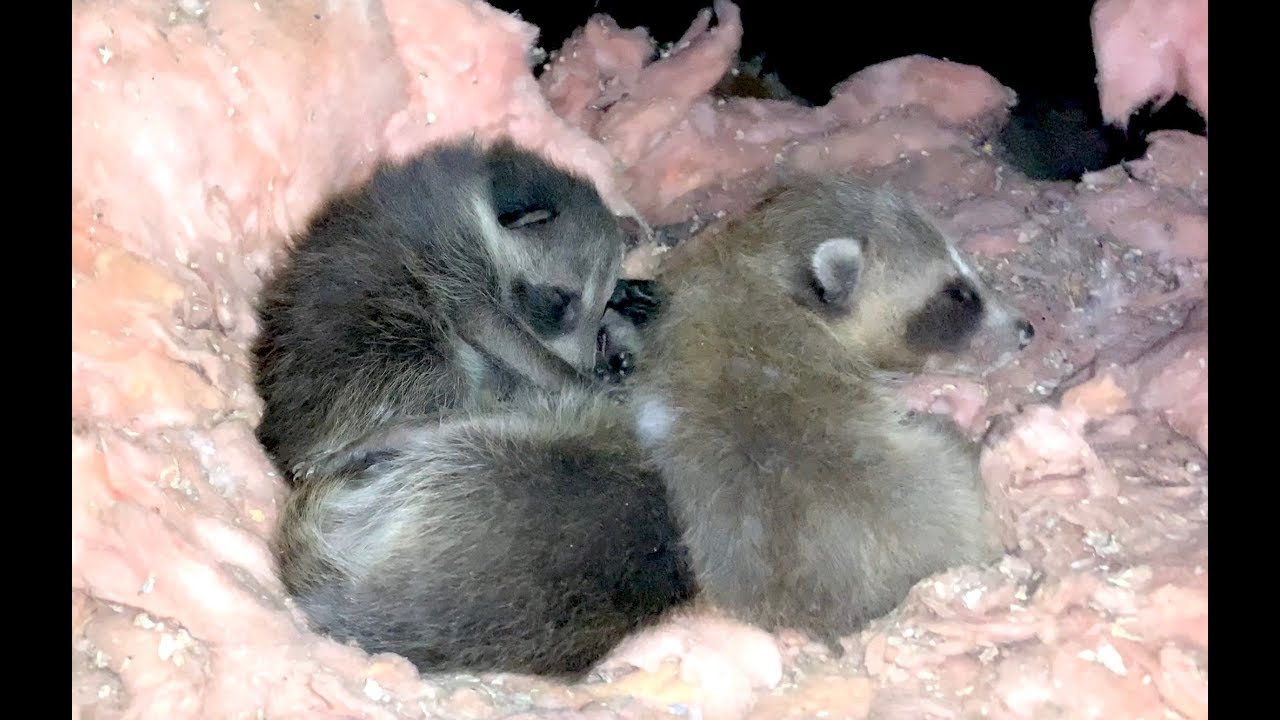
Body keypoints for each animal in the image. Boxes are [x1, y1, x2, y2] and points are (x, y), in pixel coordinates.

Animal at [253, 139, 628, 479]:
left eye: (602, 306)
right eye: (559, 299)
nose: (586, 366)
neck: (477, 194)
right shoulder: (453, 255)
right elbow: (482, 322)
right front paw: (571, 379)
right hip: (385, 349)